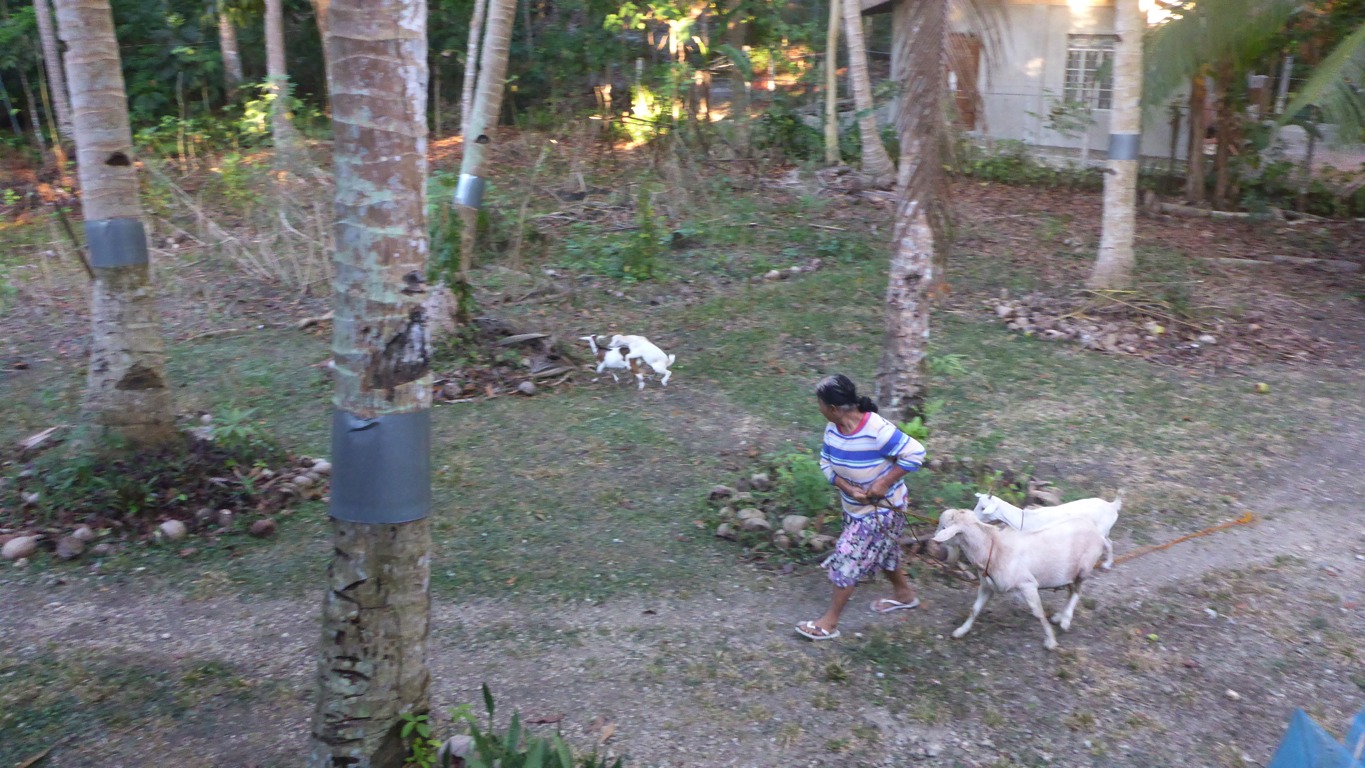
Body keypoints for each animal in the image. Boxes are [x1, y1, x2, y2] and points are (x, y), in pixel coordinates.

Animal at [933, 507, 1102, 652]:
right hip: (1068, 572)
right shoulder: (987, 586)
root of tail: (1093, 527)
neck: (993, 549)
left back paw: (1066, 620)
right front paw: (961, 631)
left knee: (1077, 591)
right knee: (1071, 591)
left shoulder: (1028, 585)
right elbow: (974, 609)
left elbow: (1039, 613)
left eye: (944, 527)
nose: (931, 541)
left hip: (1083, 569)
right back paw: (1059, 617)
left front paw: (1051, 641)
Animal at [977, 493, 1124, 570]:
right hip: (1105, 531)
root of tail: (1112, 506)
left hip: (1101, 531)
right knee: (1110, 542)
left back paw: (1105, 564)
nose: (974, 515)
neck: (1026, 520)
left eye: (983, 508)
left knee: (1107, 544)